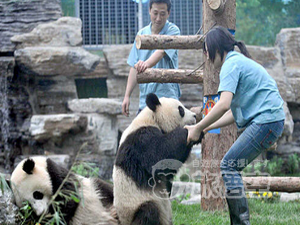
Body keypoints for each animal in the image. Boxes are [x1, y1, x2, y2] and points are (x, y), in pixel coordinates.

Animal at [113, 93, 203, 225]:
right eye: (181, 109)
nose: (195, 116)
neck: (152, 118)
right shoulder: (140, 141)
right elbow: (159, 156)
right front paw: (189, 130)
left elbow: (168, 169)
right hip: (135, 206)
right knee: (149, 211)